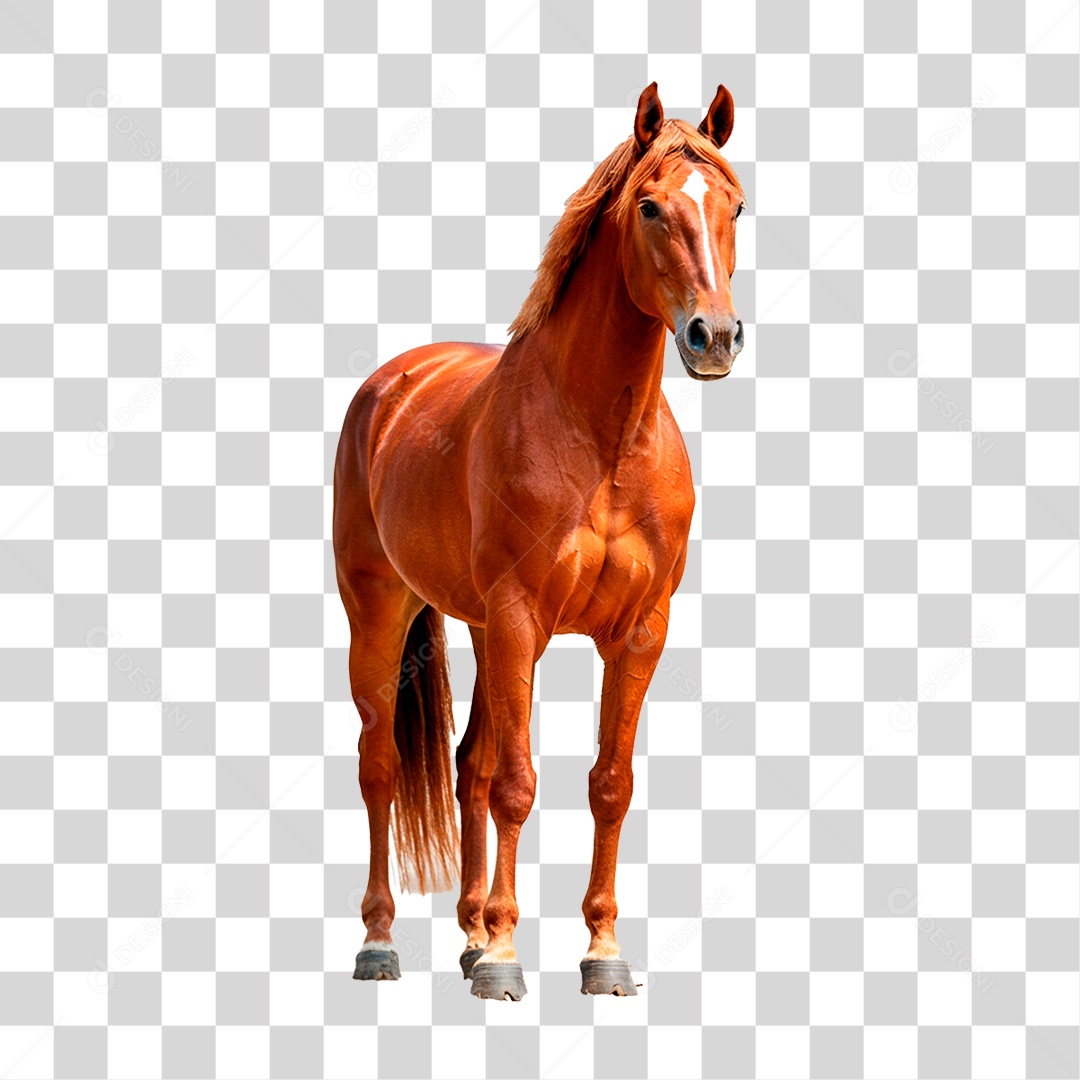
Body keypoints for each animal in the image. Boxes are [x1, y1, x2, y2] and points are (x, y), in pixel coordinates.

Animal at [333, 82, 745, 1000]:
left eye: (736, 206)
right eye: (651, 206)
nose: (715, 337)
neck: (601, 439)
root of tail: (389, 386)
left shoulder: (637, 633)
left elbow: (608, 785)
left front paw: (600, 953)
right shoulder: (523, 618)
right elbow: (519, 785)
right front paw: (506, 960)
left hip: (484, 632)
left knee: (467, 765)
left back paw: (468, 932)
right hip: (382, 614)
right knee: (380, 764)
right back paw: (381, 942)